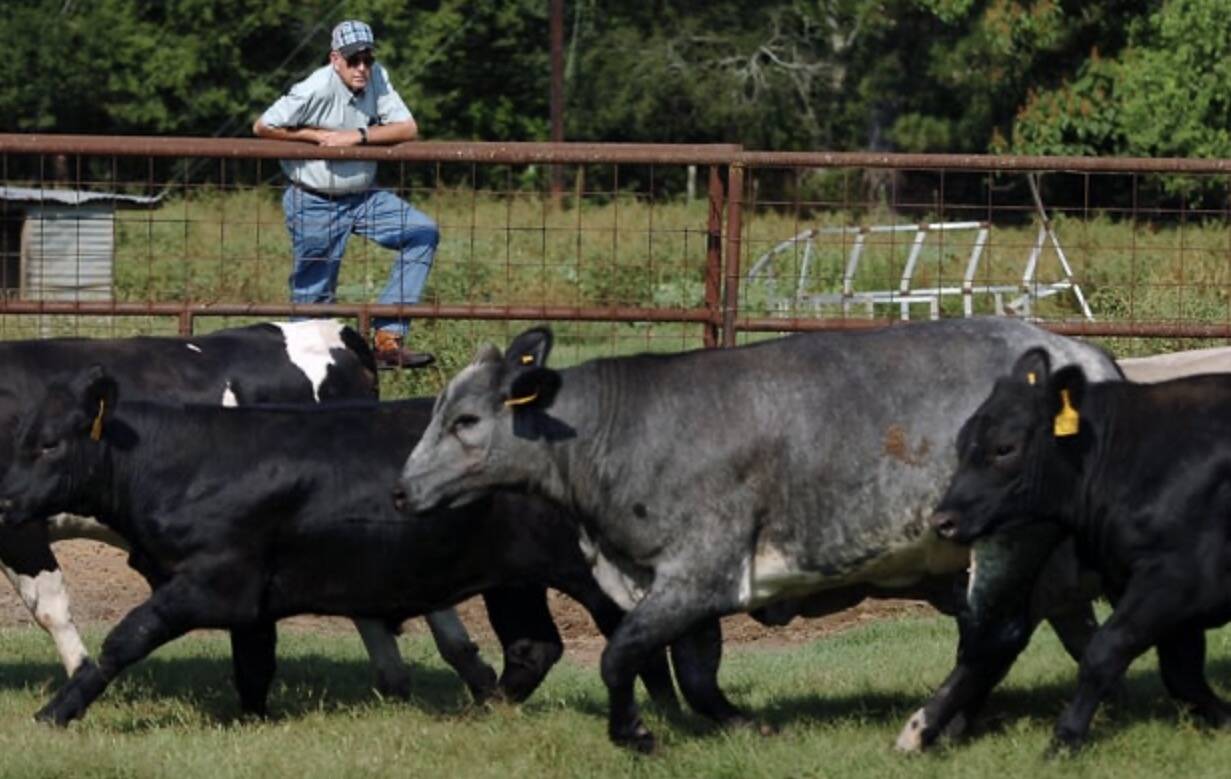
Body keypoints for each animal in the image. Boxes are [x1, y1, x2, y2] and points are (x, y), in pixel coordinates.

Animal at [0, 373, 691, 725]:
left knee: (631, 630)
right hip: (512, 578)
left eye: (50, 445)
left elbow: (125, 639)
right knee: (533, 645)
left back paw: (663, 713)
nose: (4, 501)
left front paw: (58, 710)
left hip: (584, 572)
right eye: (21, 438)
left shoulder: (211, 581)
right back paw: (489, 709)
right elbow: (253, 662)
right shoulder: (250, 597)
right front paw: (253, 719)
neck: (182, 462)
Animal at [396, 317, 1123, 751]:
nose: (402, 490)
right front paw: (748, 723)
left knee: (992, 636)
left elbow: (619, 655)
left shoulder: (700, 571)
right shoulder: (680, 590)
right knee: (1052, 631)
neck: (613, 433)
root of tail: (1082, 353)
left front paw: (633, 732)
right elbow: (695, 676)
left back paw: (923, 727)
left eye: (465, 420)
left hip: (1005, 541)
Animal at [929, 349, 1231, 754]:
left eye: (1005, 448)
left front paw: (1065, 737)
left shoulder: (1176, 579)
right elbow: (1181, 673)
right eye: (961, 446)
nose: (943, 520)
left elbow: (1104, 651)